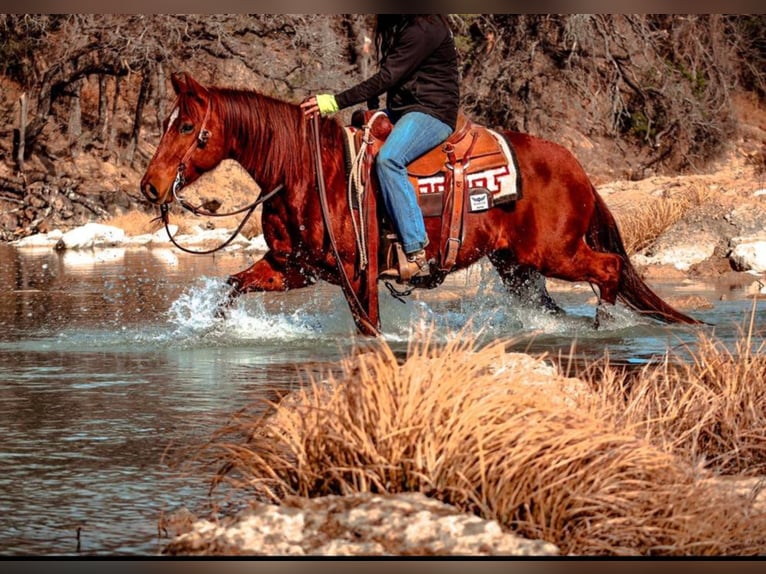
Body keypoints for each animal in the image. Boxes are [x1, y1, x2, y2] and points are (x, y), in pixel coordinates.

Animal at [140, 74, 704, 340]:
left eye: (186, 126)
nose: (149, 187)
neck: (305, 172)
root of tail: (577, 167)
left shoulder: (357, 274)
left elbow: (368, 329)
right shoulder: (294, 267)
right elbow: (232, 287)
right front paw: (214, 329)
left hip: (556, 252)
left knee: (608, 270)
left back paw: (604, 328)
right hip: (517, 266)